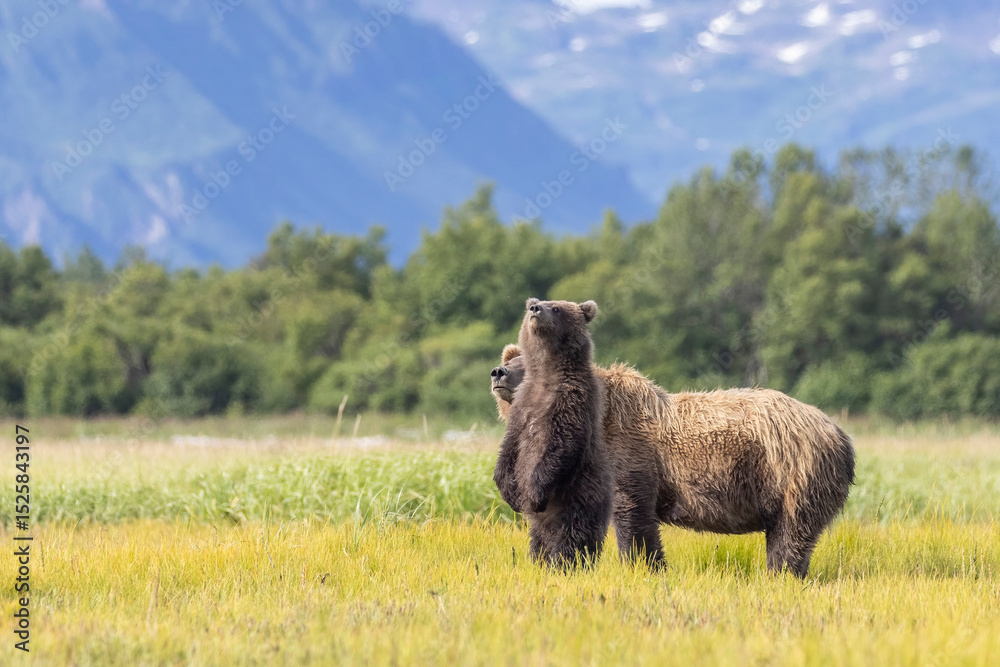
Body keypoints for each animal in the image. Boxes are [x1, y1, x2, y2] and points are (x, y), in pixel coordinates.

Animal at [492, 346, 855, 577]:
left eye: (528, 363)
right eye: (513, 357)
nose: (499, 372)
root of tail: (840, 433)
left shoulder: (628, 453)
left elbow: (631, 516)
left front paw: (644, 567)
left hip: (793, 471)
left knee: (792, 532)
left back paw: (781, 574)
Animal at [493, 298, 614, 568]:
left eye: (556, 308)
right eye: (536, 303)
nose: (535, 309)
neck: (546, 375)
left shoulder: (571, 401)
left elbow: (561, 446)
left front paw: (534, 493)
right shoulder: (523, 406)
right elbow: (509, 446)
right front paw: (510, 493)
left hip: (578, 500)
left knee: (573, 539)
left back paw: (565, 564)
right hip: (539, 526)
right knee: (539, 542)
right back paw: (539, 561)